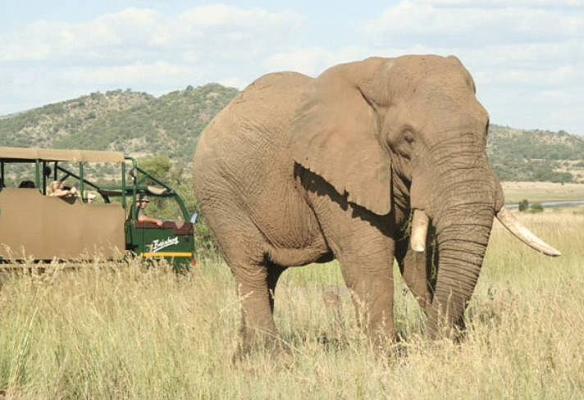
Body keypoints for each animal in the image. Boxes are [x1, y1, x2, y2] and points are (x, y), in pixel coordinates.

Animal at [193, 54, 560, 354]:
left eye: (485, 127)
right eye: (407, 138)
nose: (438, 340)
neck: (380, 71)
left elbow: (417, 261)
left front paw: (451, 348)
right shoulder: (327, 177)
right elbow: (368, 260)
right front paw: (389, 361)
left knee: (268, 276)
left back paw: (244, 356)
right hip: (219, 196)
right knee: (251, 270)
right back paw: (274, 360)